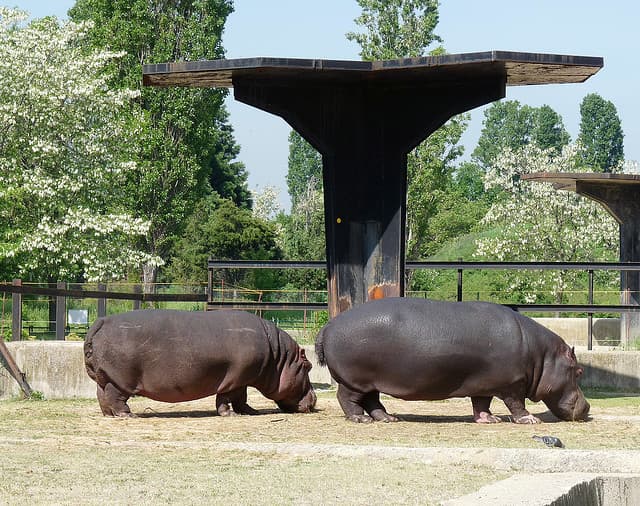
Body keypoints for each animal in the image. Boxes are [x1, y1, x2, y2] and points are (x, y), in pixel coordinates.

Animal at [84, 309, 316, 417]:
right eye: (309, 366)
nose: (314, 399)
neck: (280, 358)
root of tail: (102, 321)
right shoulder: (236, 378)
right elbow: (227, 398)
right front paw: (230, 414)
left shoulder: (242, 379)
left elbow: (241, 398)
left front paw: (251, 412)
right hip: (120, 381)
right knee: (115, 397)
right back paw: (128, 415)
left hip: (104, 378)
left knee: (102, 395)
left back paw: (109, 415)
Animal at [315, 298, 589, 424]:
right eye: (579, 372)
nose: (587, 408)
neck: (543, 356)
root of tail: (327, 326)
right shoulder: (513, 383)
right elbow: (516, 403)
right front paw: (530, 419)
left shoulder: (485, 383)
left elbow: (482, 403)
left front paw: (489, 420)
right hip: (355, 380)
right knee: (348, 399)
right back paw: (360, 419)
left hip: (372, 381)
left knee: (373, 401)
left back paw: (389, 418)